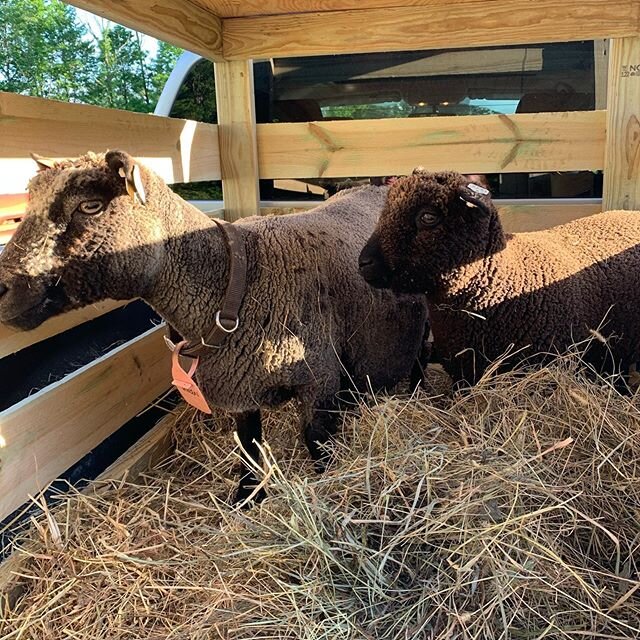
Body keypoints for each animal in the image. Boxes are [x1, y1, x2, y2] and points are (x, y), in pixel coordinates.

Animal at [1, 151, 430, 504]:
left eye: (90, 205)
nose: (2, 286)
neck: (235, 281)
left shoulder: (318, 378)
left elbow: (317, 442)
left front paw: (325, 486)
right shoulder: (242, 384)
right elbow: (249, 446)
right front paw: (247, 497)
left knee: (420, 359)